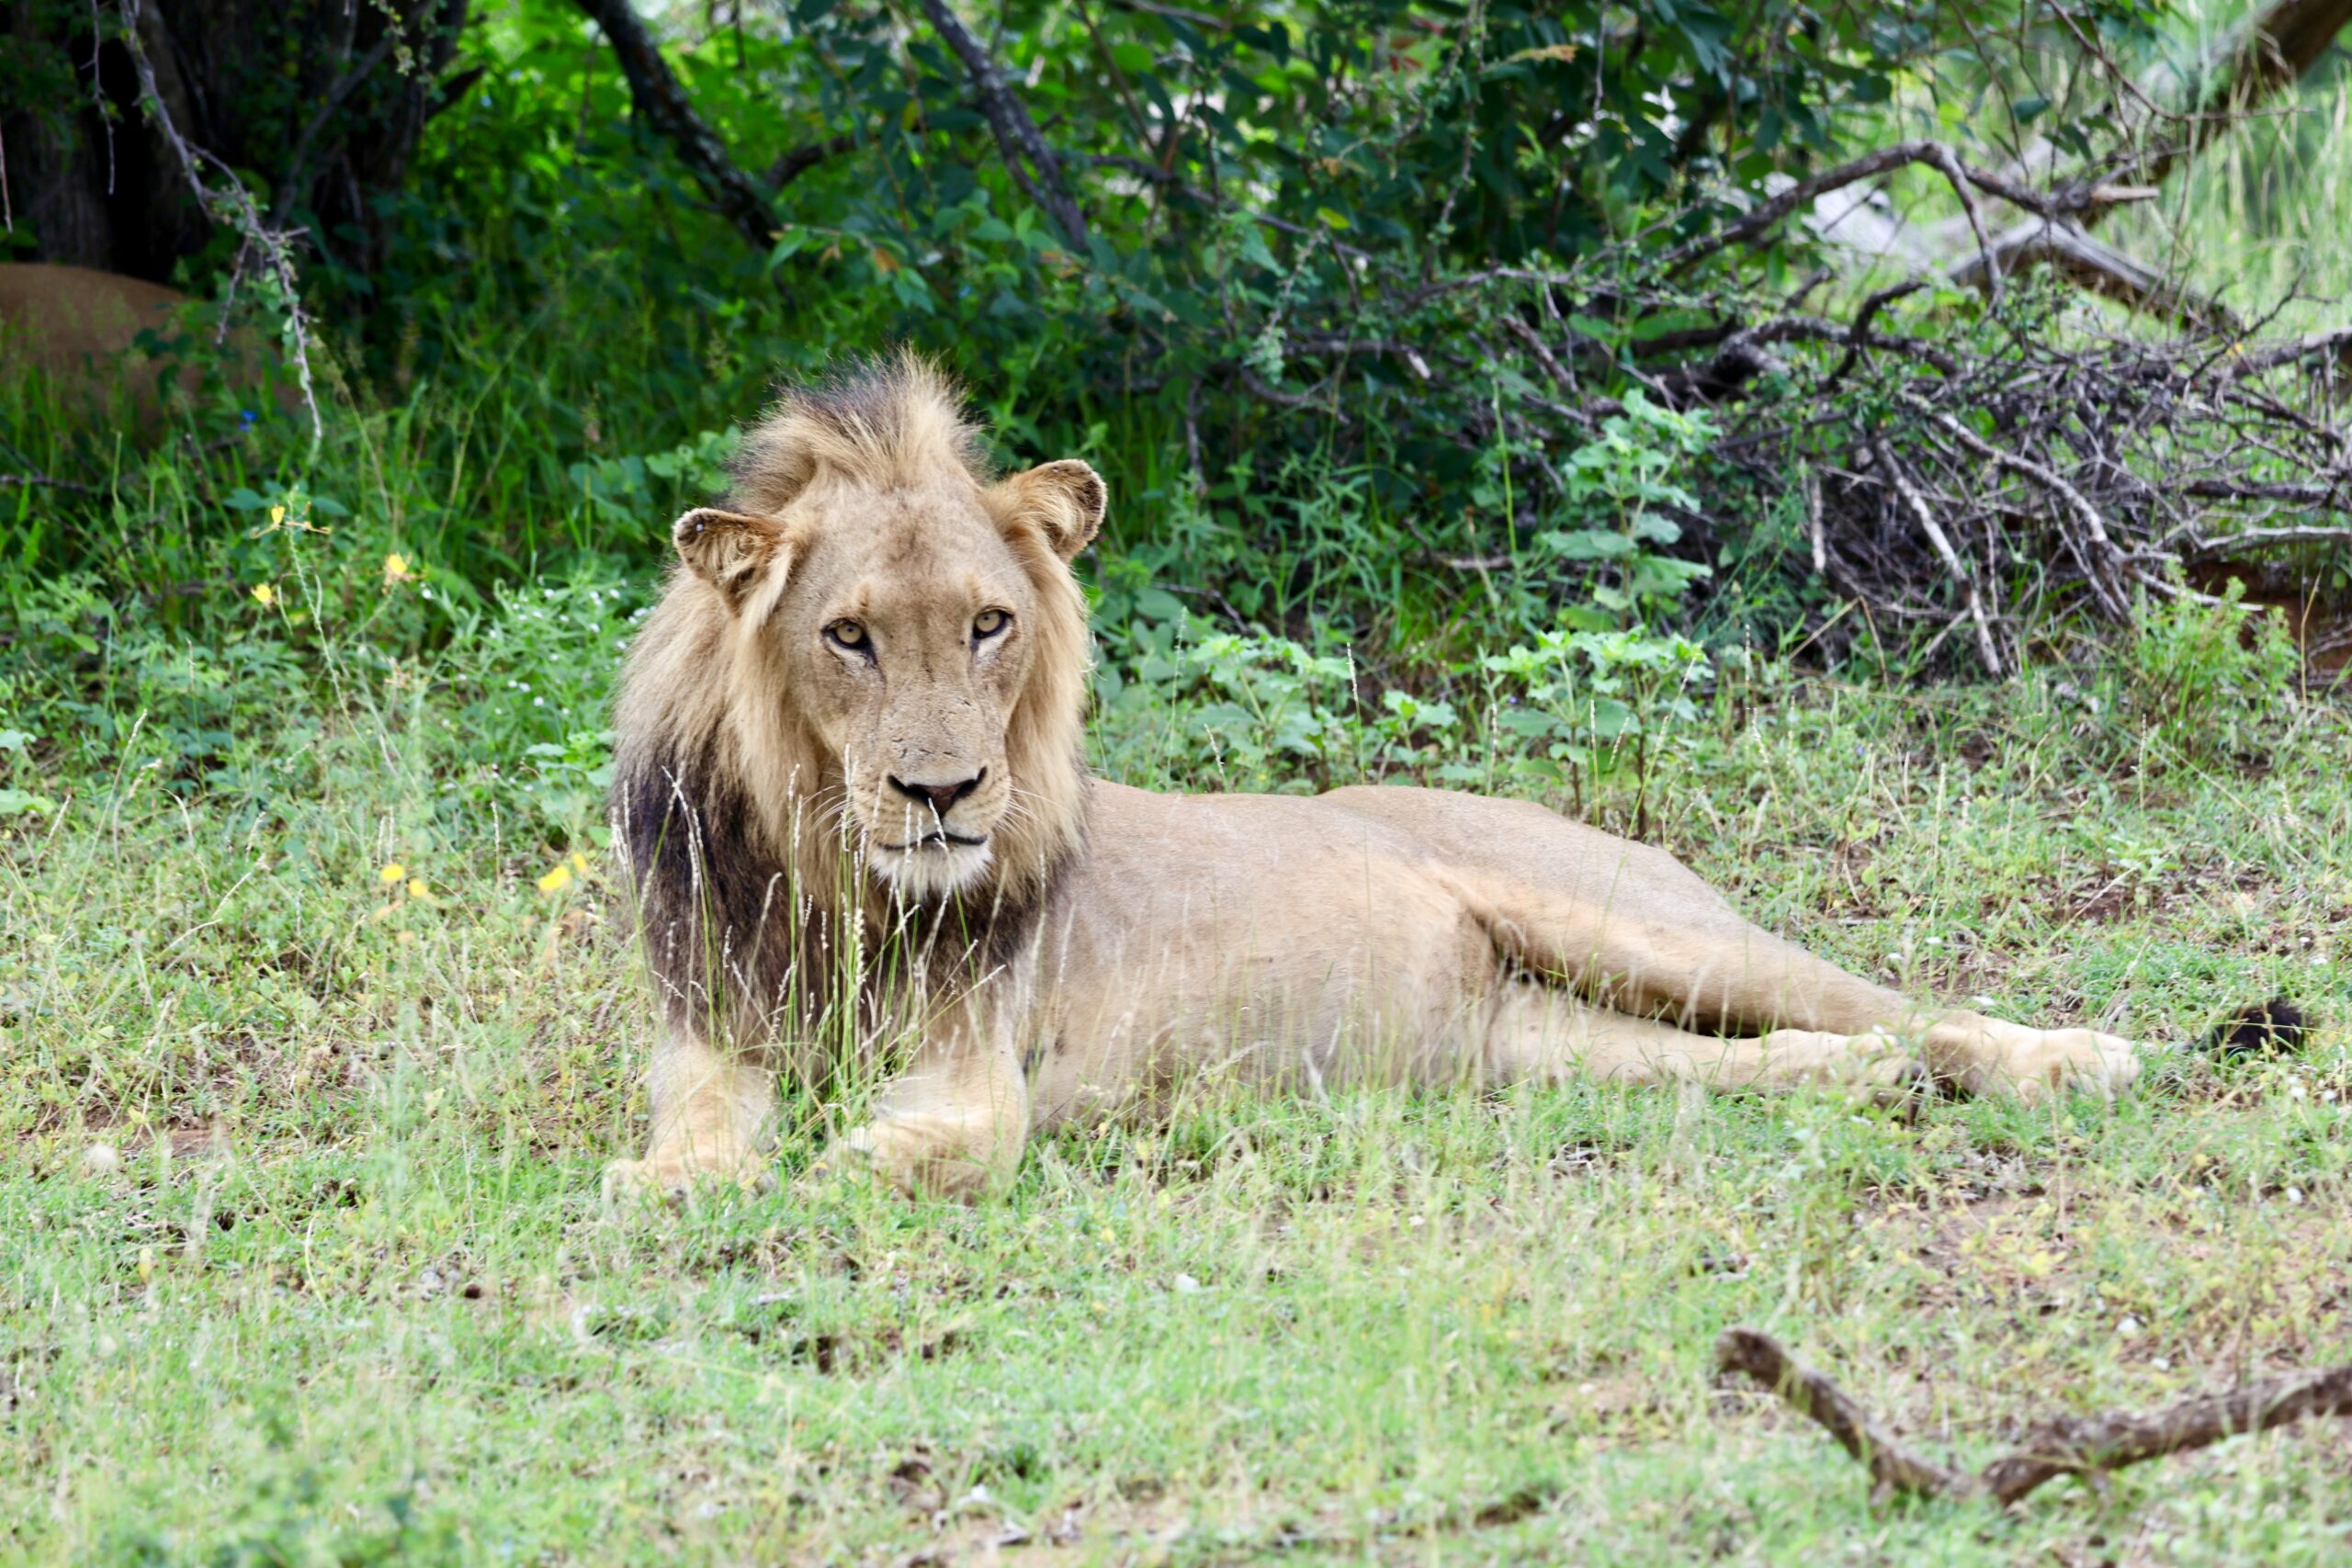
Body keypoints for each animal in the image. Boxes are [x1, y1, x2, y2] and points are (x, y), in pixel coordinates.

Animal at [602, 355, 2142, 1203]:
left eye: (988, 622)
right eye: (848, 635)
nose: (946, 793)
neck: (835, 879)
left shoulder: (985, 1062)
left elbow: (947, 1143)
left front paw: (842, 1163)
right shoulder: (708, 1030)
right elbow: (693, 1142)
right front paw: (677, 1181)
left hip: (1641, 924)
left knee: (1908, 1005)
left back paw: (2074, 1057)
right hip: (1537, 1048)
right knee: (1778, 1056)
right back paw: (1869, 1086)